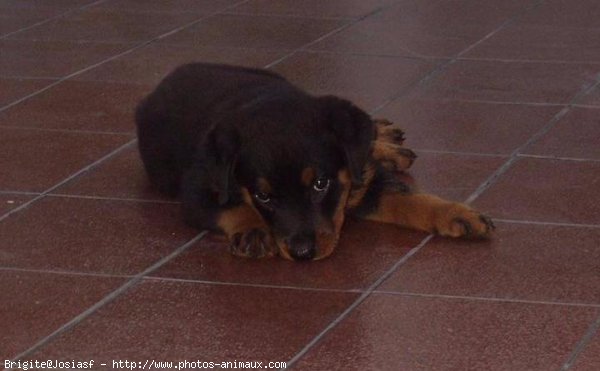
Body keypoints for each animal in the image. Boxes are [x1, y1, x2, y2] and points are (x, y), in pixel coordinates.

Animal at [137, 63, 496, 262]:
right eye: (263, 196)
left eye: (320, 184)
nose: (302, 253)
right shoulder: (197, 191)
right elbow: (232, 207)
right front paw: (253, 229)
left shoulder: (358, 181)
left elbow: (409, 198)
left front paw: (458, 214)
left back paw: (384, 138)